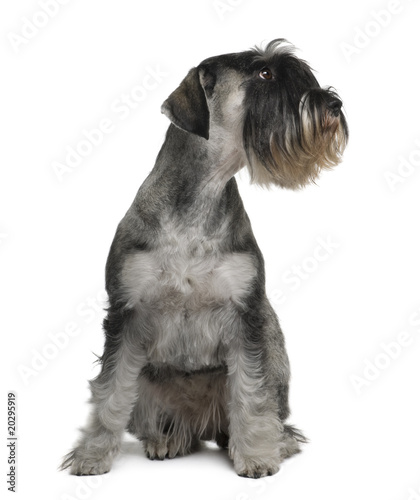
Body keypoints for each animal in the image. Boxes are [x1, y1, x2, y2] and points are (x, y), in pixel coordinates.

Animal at [60, 38, 348, 476]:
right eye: (264, 73)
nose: (334, 104)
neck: (203, 193)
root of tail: (204, 422)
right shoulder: (125, 314)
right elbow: (110, 392)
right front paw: (92, 454)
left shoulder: (247, 315)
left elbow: (251, 391)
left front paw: (256, 457)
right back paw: (167, 438)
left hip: (275, 351)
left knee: (272, 414)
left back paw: (271, 442)